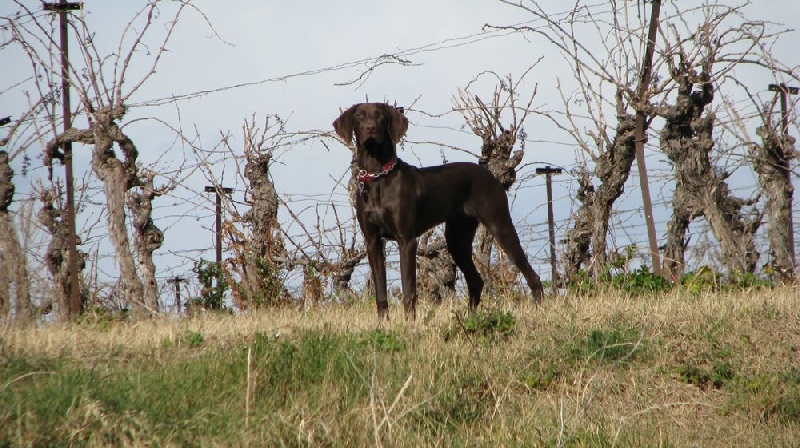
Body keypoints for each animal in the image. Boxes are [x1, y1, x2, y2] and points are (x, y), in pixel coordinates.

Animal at [332, 102, 544, 318]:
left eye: (380, 115)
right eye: (359, 116)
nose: (370, 128)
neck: (378, 176)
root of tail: (489, 174)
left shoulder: (406, 240)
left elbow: (409, 291)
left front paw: (409, 322)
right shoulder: (373, 242)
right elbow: (380, 293)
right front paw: (384, 322)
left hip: (499, 225)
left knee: (531, 275)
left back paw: (538, 310)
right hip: (457, 239)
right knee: (476, 281)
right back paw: (470, 317)